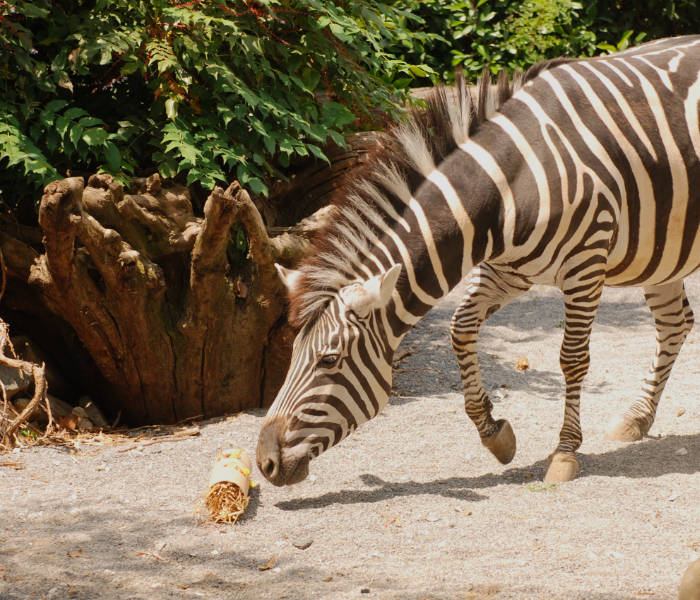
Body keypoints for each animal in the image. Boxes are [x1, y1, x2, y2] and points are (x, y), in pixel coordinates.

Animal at [258, 36, 700, 488]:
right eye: (292, 354)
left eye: (329, 361)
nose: (264, 463)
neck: (509, 187)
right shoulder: (507, 271)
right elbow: (461, 327)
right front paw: (494, 433)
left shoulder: (585, 265)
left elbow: (572, 358)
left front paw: (564, 452)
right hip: (660, 251)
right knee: (675, 324)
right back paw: (637, 417)